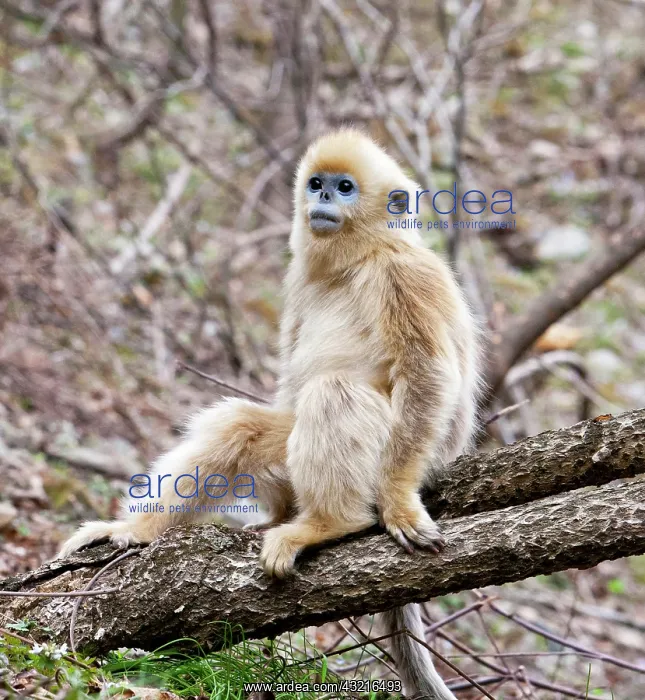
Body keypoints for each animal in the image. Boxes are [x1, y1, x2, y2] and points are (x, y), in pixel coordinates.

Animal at [59, 129, 481, 700]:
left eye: (345, 188)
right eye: (317, 183)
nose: (321, 199)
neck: (358, 260)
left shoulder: (405, 274)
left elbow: (428, 375)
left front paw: (396, 504)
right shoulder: (299, 281)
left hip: (418, 451)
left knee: (334, 392)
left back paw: (329, 522)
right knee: (242, 424)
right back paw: (141, 529)